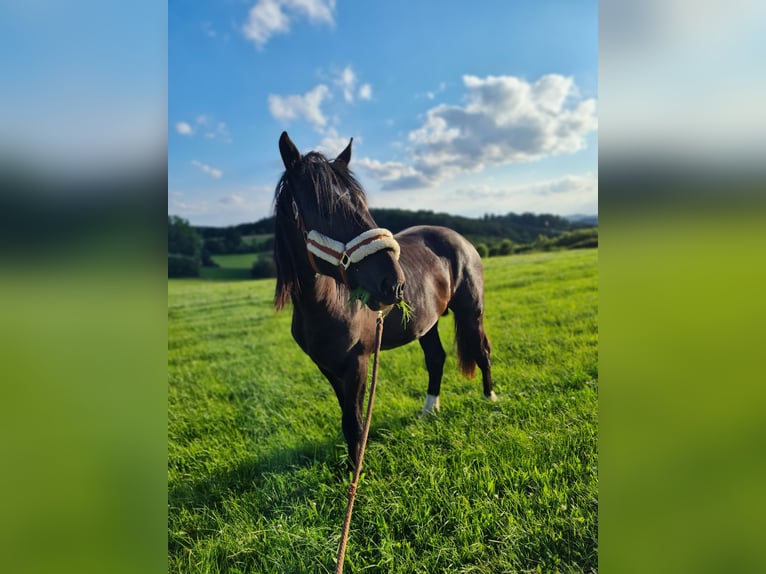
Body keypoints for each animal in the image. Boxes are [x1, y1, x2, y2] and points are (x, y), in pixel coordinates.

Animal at [272, 133, 496, 470]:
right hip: (426, 323)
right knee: (436, 359)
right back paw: (429, 411)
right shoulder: (328, 367)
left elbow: (354, 422)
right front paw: (349, 470)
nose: (394, 283)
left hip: (471, 312)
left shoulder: (357, 363)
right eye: (323, 209)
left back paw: (489, 399)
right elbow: (347, 418)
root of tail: (459, 238)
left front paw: (356, 473)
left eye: (362, 204)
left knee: (481, 351)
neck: (323, 307)